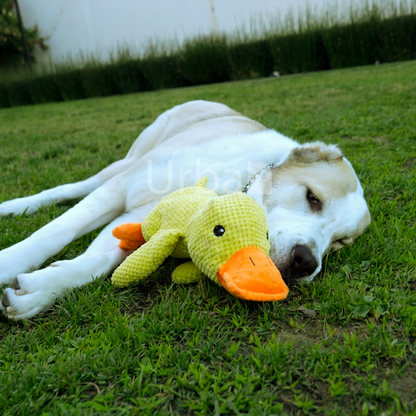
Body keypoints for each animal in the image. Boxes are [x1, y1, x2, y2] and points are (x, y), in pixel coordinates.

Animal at [0, 99, 370, 320]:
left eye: (339, 242)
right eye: (312, 197)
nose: (305, 262)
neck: (234, 184)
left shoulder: (138, 218)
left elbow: (100, 260)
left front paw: (42, 290)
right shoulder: (120, 190)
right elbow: (56, 232)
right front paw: (10, 263)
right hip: (130, 159)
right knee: (76, 187)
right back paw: (18, 206)